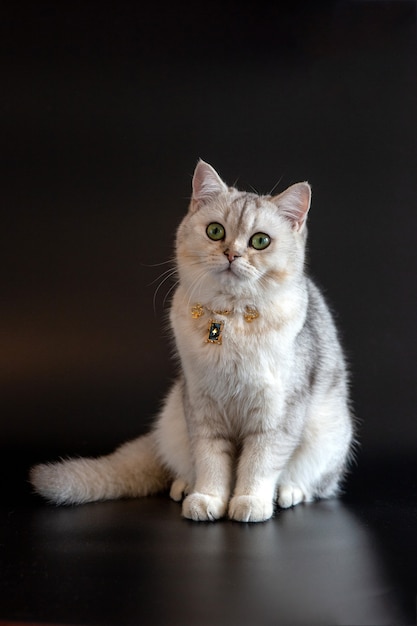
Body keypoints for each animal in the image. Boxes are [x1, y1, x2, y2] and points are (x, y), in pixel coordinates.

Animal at [30, 158, 354, 520]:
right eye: (215, 231)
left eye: (260, 241)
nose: (232, 254)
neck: (228, 320)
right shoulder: (202, 406)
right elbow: (210, 460)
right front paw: (208, 498)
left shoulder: (277, 414)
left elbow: (259, 463)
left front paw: (249, 501)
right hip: (174, 415)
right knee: (182, 465)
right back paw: (185, 486)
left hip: (326, 436)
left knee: (318, 485)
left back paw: (289, 492)